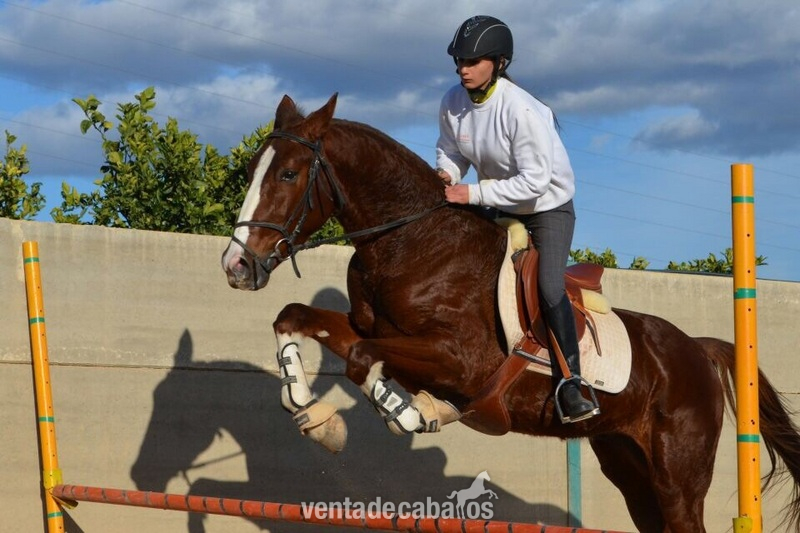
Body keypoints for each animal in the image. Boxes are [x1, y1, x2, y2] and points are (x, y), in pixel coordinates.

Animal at [220, 93, 800, 532]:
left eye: (289, 174)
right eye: (251, 171)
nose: (236, 265)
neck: (410, 243)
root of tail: (697, 348)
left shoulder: (461, 361)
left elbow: (362, 360)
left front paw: (406, 413)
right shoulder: (378, 332)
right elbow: (298, 319)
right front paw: (309, 409)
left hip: (678, 474)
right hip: (627, 465)